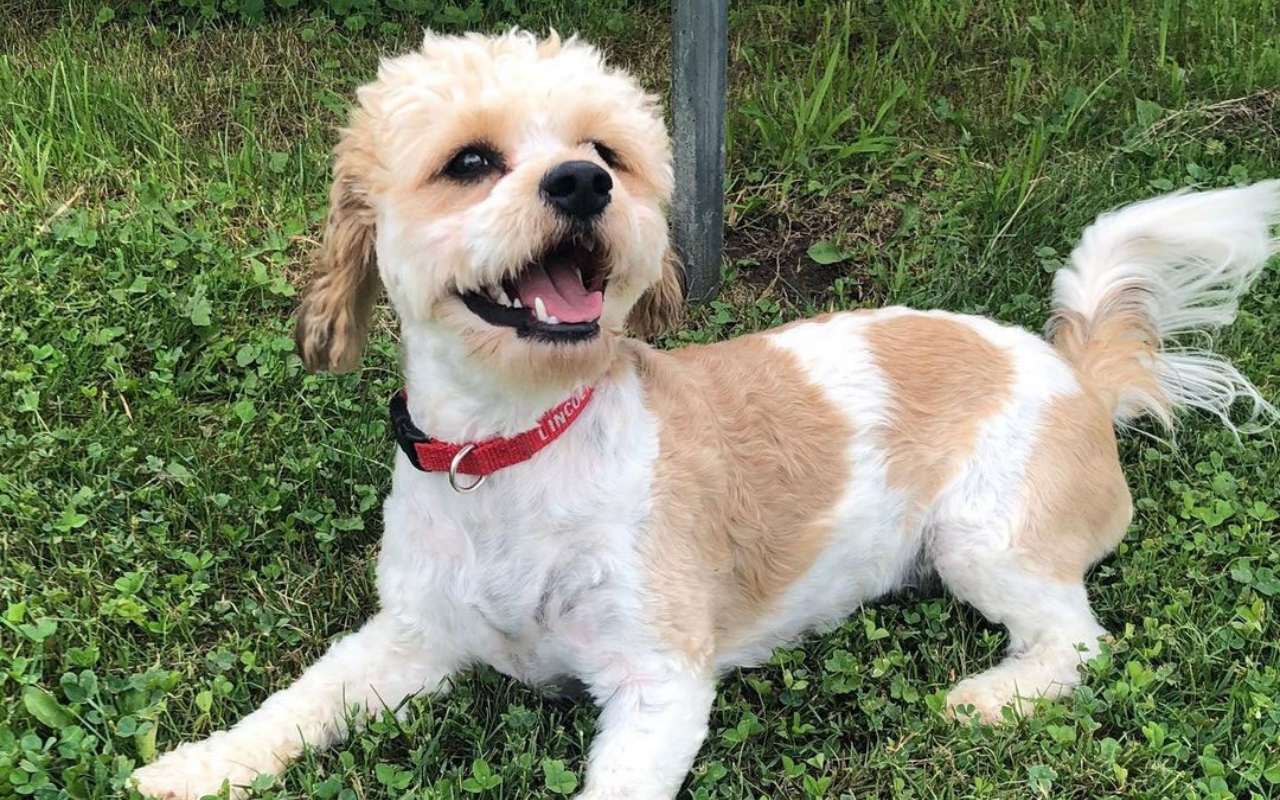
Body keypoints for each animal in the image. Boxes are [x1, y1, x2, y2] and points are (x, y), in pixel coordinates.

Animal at [132, 29, 1280, 798]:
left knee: (1078, 640)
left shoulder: (656, 682)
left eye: (606, 149)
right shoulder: (411, 636)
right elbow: (298, 701)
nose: (580, 183)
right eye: (469, 161)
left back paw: (993, 694)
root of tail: (1071, 367)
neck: (517, 445)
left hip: (983, 536)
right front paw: (193, 765)